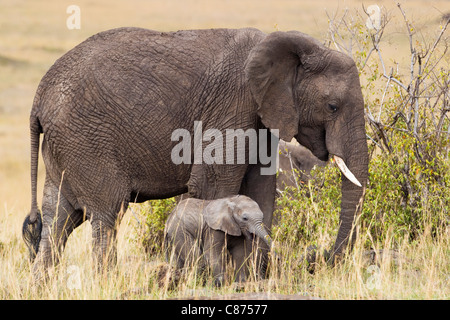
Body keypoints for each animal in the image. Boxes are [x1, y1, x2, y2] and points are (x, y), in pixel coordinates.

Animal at [22, 27, 370, 276]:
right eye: (333, 106)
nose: (320, 260)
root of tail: (38, 99)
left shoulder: (259, 119)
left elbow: (261, 190)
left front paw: (245, 281)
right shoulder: (233, 106)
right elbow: (215, 186)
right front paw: (216, 279)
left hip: (66, 145)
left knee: (59, 219)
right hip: (86, 140)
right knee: (106, 215)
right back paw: (107, 282)